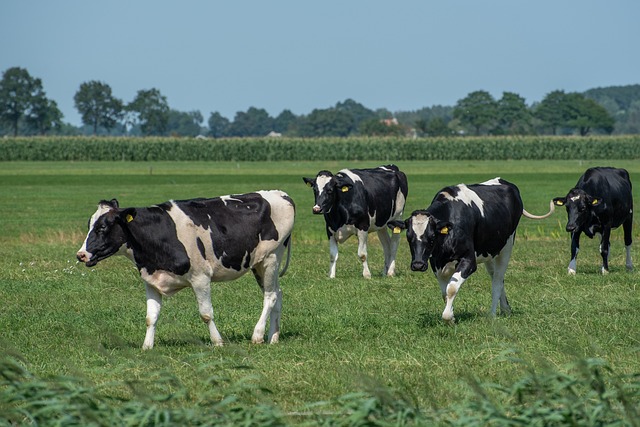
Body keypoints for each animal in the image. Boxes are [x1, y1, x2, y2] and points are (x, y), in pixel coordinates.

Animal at [77, 191, 296, 352]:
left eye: (102, 227)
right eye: (89, 225)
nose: (81, 255)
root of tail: (281, 194)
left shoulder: (201, 278)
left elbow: (206, 313)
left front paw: (218, 342)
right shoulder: (150, 280)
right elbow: (150, 317)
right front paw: (147, 346)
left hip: (271, 258)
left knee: (270, 296)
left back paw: (257, 335)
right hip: (258, 264)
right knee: (278, 294)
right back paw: (273, 337)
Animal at [390, 178, 556, 324]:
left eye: (431, 237)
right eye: (409, 237)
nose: (418, 265)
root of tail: (505, 182)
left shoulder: (469, 260)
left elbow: (451, 289)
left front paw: (448, 318)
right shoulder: (436, 264)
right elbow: (445, 293)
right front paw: (451, 316)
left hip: (506, 246)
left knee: (497, 281)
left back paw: (492, 314)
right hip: (489, 251)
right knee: (497, 277)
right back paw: (505, 309)